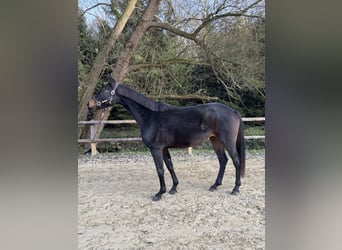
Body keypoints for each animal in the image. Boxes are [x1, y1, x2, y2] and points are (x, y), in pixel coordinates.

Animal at [87, 75, 244, 201]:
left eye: (104, 90)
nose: (90, 104)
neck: (150, 116)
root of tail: (233, 111)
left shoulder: (156, 149)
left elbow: (160, 169)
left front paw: (159, 193)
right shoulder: (164, 148)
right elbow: (169, 166)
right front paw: (173, 188)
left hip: (227, 142)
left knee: (236, 161)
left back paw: (235, 189)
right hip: (215, 140)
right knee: (223, 161)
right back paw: (215, 185)